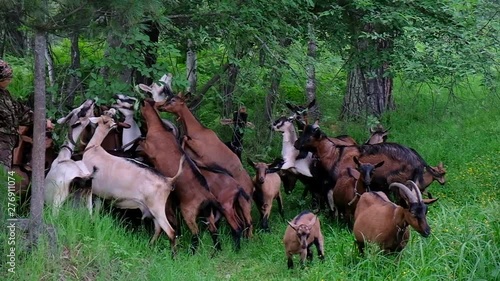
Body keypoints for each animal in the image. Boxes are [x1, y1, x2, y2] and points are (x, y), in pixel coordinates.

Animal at [82, 112, 184, 244]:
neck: (94, 149)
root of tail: (168, 180)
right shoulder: (100, 195)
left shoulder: (92, 189)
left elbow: (90, 208)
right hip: (152, 210)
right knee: (158, 229)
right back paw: (150, 245)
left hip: (157, 208)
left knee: (170, 232)